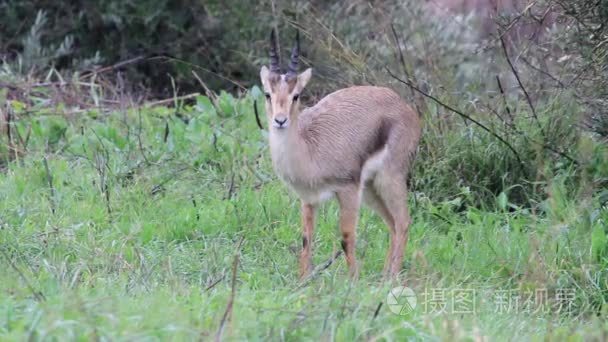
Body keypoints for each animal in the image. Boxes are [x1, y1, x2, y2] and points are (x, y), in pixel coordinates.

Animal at [258, 30, 420, 280]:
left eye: (296, 95)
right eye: (268, 94)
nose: (280, 120)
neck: (310, 149)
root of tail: (404, 106)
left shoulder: (347, 190)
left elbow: (346, 237)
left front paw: (353, 281)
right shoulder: (308, 199)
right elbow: (306, 238)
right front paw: (302, 280)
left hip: (389, 178)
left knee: (403, 221)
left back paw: (392, 278)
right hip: (371, 189)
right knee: (392, 224)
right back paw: (383, 277)